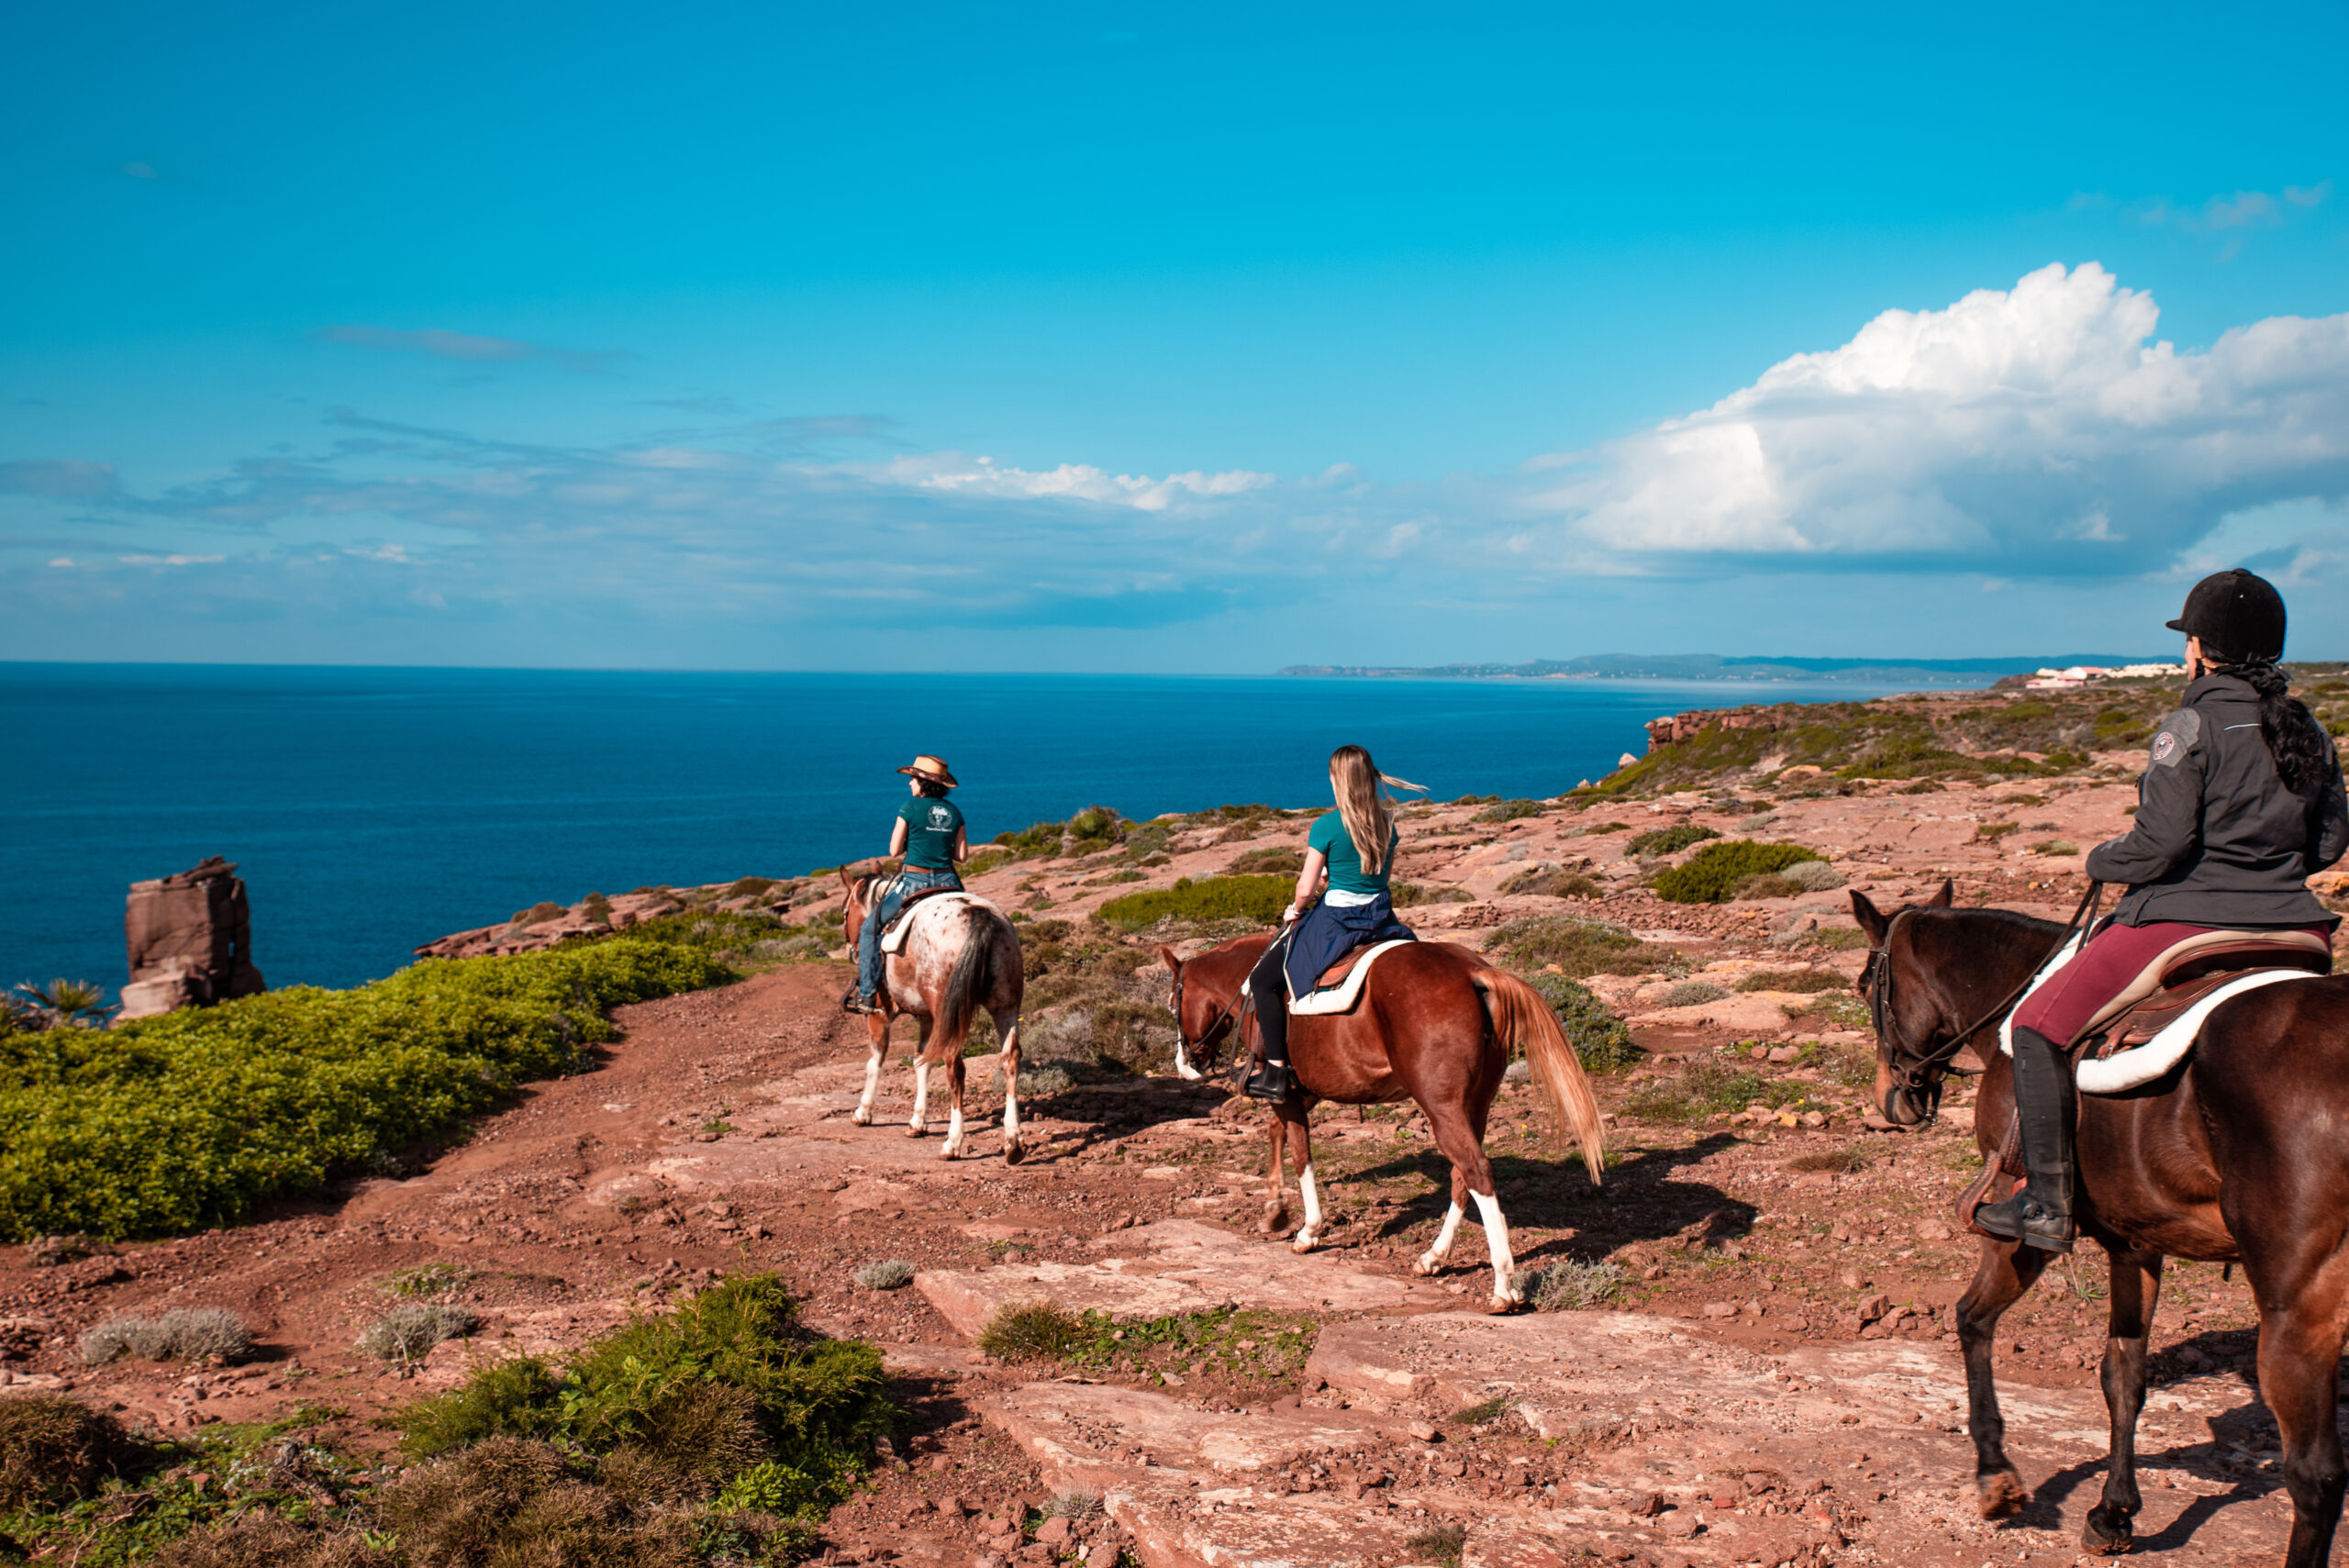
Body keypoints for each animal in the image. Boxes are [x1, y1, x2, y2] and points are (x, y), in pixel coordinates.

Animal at [838, 870, 1027, 1161]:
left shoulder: (880, 1013)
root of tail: (979, 915)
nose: (850, 946)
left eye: (845, 911)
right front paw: (918, 1122)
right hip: (1005, 1005)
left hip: (952, 1013)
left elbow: (875, 1062)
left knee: (955, 1068)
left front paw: (863, 1112)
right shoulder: (928, 1018)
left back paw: (953, 1143)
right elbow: (922, 1062)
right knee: (1010, 1059)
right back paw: (1013, 1141)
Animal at [1158, 933, 1606, 1311]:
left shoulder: (1285, 1095)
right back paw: (1434, 1257)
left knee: (1475, 1169)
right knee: (1464, 1175)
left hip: (1442, 1107)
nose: (1186, 1063)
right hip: (1475, 1104)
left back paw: (1502, 1286)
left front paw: (1308, 1231)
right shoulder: (1303, 1092)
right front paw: (1274, 1210)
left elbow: (1301, 1153)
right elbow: (1277, 1136)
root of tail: (1473, 971)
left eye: (1173, 1006)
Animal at [1855, 880, 2349, 1564]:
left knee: (2314, 1474)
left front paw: (1995, 1474)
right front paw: (2114, 1512)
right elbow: (2125, 1376)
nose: (1890, 1099)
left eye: (1863, 986)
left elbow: (1972, 1317)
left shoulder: (2020, 1223)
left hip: (2299, 1304)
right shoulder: (2135, 1241)